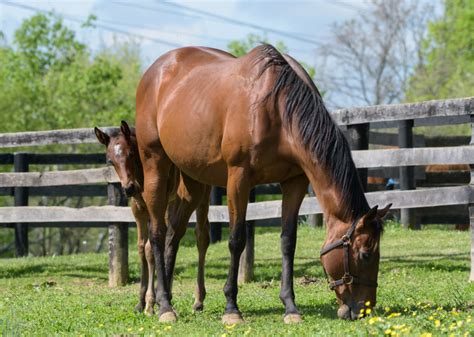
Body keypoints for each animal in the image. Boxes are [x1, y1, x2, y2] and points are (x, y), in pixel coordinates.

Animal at [94, 121, 211, 316]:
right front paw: (141, 302)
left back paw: (198, 300)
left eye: (131, 154)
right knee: (171, 240)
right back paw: (168, 294)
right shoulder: (139, 210)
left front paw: (150, 303)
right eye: (110, 161)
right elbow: (142, 247)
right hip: (172, 204)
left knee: (200, 237)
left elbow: (150, 248)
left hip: (199, 195)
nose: (128, 188)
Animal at [135, 44, 390, 322]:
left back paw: (169, 299)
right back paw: (162, 306)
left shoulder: (294, 181)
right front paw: (231, 308)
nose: (364, 308)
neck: (277, 109)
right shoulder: (238, 178)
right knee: (157, 234)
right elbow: (237, 240)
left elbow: (288, 241)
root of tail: (156, 70)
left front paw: (290, 306)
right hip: (155, 166)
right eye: (365, 254)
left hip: (193, 182)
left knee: (174, 233)